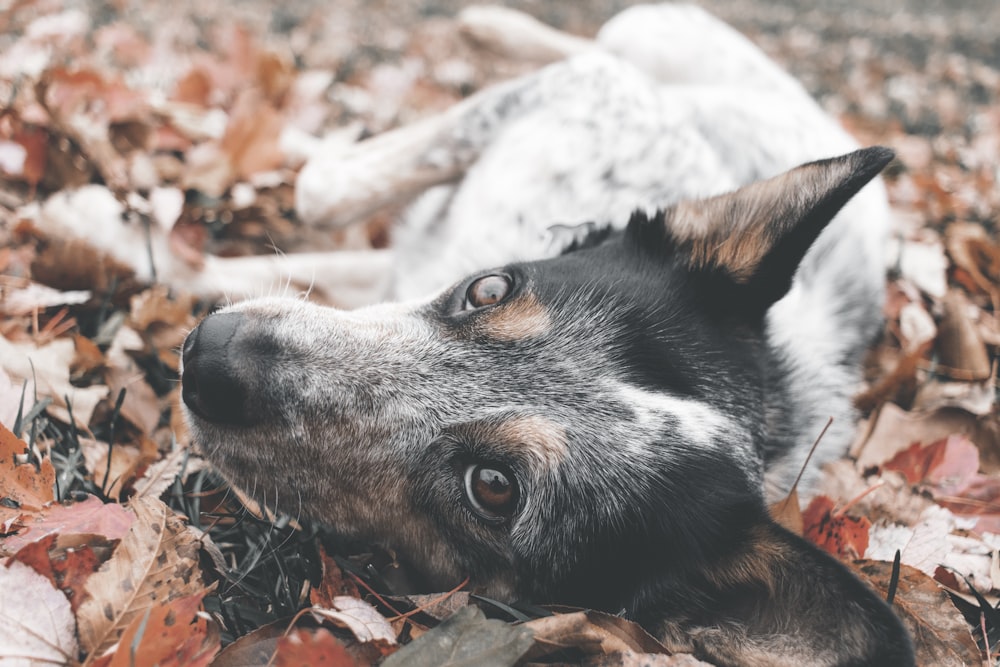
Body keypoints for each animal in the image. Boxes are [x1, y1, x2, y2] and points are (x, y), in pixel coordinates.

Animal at [180, 5, 916, 667]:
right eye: (489, 289)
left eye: (492, 487)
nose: (209, 357)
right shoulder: (577, 98)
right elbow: (321, 190)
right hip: (650, 32)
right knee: (599, 50)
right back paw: (492, 27)